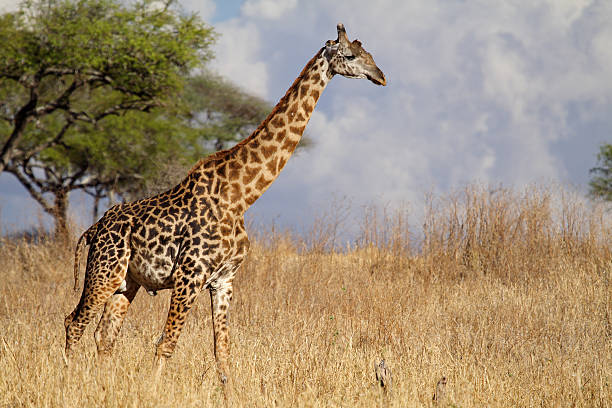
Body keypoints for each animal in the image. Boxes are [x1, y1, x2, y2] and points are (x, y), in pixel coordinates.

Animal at [64, 22, 384, 388]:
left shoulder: (224, 279)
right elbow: (167, 343)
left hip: (127, 281)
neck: (240, 196)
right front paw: (152, 391)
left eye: (369, 52)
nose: (380, 76)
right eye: (351, 55)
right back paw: (67, 382)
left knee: (104, 335)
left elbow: (223, 353)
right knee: (74, 323)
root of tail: (93, 228)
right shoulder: (190, 273)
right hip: (104, 271)